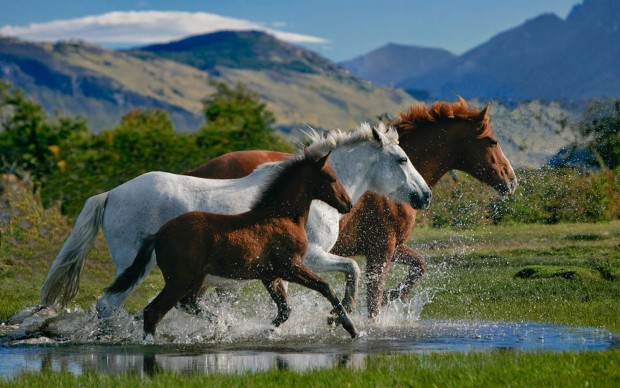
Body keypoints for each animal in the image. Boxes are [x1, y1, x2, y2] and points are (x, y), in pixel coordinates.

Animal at [41, 123, 432, 316]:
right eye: (401, 159)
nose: (424, 196)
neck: (305, 196)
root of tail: (111, 194)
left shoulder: (281, 266)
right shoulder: (310, 256)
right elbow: (351, 268)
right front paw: (341, 314)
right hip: (135, 266)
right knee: (109, 304)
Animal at [108, 150, 358, 338]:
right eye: (332, 178)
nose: (348, 204)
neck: (280, 216)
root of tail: (159, 233)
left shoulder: (270, 275)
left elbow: (285, 310)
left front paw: (265, 331)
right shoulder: (291, 267)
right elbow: (326, 288)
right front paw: (351, 328)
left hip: (195, 279)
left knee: (185, 304)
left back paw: (221, 324)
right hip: (180, 280)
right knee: (153, 311)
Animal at [184, 97, 520, 318]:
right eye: (492, 141)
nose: (512, 180)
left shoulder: (389, 247)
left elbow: (418, 266)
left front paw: (391, 297)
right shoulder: (381, 249)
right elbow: (373, 298)